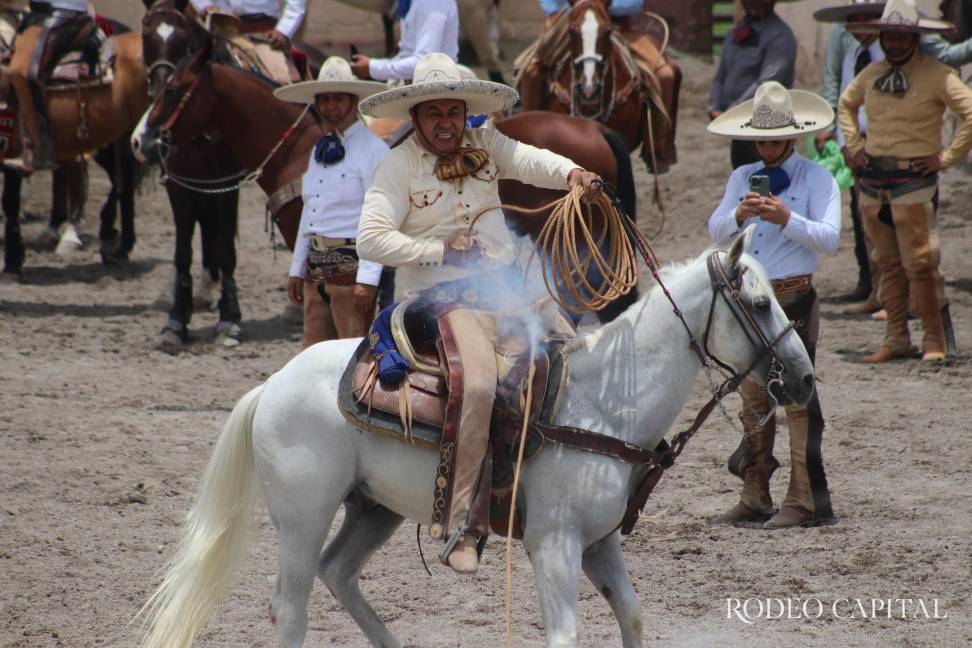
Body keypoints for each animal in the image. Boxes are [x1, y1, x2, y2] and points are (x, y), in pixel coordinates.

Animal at [140, 230, 816, 644]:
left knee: (339, 573)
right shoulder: (555, 544)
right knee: (291, 605)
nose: (805, 379)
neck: (603, 404)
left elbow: (632, 616)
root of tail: (272, 383)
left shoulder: (599, 544)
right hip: (304, 514)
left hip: (374, 507)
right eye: (759, 302)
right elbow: (565, 633)